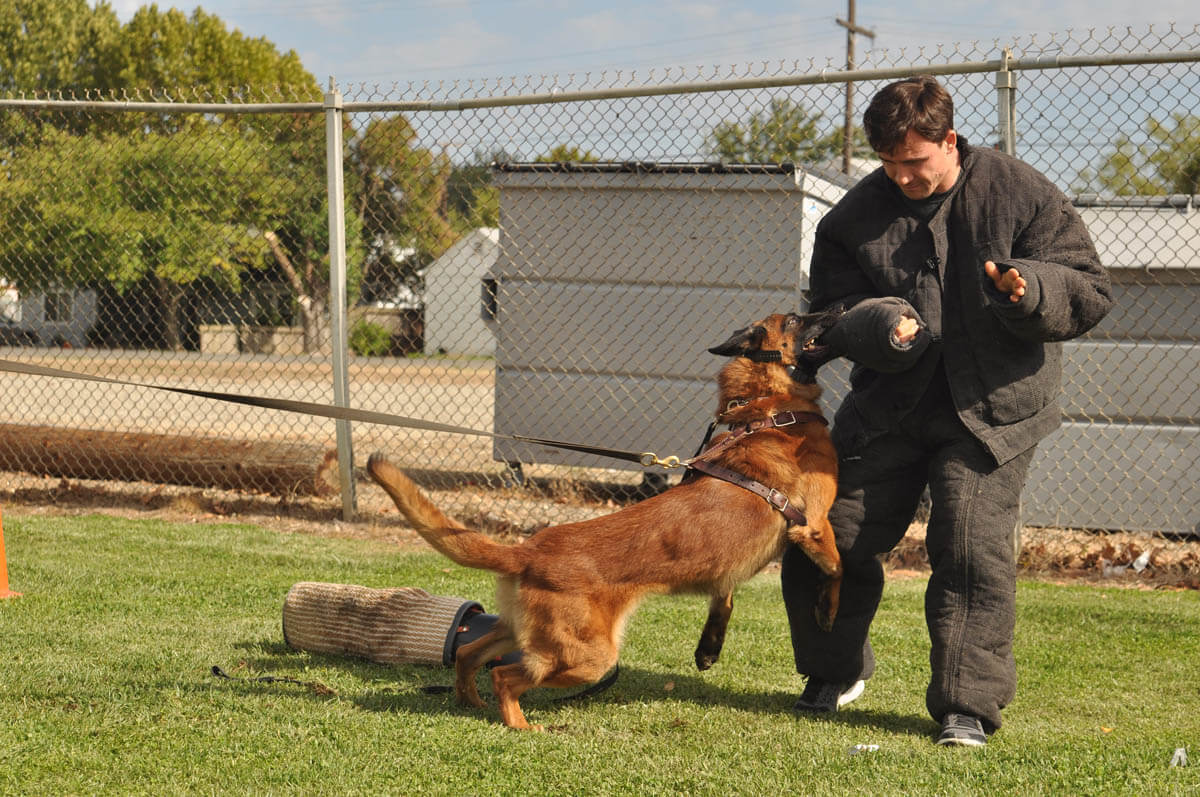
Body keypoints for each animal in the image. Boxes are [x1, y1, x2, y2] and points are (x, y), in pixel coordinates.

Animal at [364, 309, 844, 729]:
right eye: (796, 318)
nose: (839, 309)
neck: (767, 410)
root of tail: (527, 551)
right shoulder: (814, 525)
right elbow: (839, 568)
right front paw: (828, 611)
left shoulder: (727, 569)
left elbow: (723, 600)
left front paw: (709, 648)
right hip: (589, 657)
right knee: (505, 676)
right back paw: (520, 725)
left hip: (523, 632)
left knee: (469, 656)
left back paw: (469, 702)